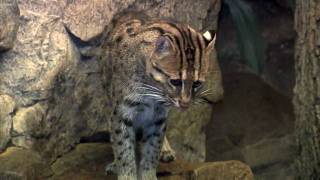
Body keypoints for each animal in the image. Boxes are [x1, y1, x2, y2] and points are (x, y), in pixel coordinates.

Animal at [99, 11, 215, 180]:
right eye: (175, 81)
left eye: (197, 83)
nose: (185, 104)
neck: (153, 93)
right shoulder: (121, 113)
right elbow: (123, 150)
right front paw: (127, 174)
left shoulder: (159, 117)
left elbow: (152, 149)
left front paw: (149, 174)